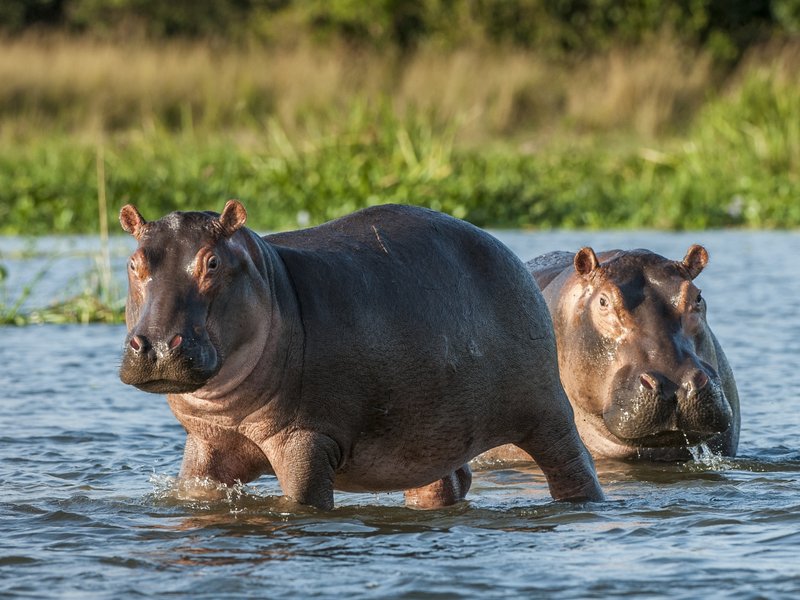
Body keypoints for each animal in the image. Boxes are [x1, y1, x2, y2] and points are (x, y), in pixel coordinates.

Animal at [118, 201, 603, 509]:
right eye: (134, 263)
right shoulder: (207, 443)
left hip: (546, 411)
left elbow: (304, 502)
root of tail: (508, 253)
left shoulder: (307, 439)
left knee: (573, 464)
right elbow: (196, 491)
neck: (270, 281)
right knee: (445, 482)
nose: (157, 345)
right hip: (429, 432)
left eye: (212, 262)